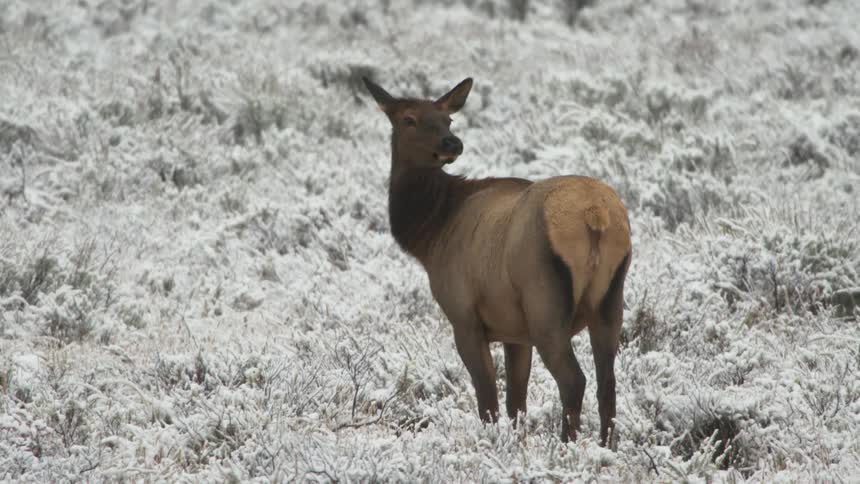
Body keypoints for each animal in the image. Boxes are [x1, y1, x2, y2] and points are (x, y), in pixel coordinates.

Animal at [362, 76, 632, 446]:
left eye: (447, 119)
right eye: (409, 119)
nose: (452, 143)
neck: (431, 235)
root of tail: (596, 216)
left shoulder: (464, 317)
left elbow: (488, 399)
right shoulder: (515, 331)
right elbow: (516, 401)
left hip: (545, 303)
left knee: (574, 381)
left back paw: (567, 446)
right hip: (610, 300)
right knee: (608, 384)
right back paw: (605, 448)